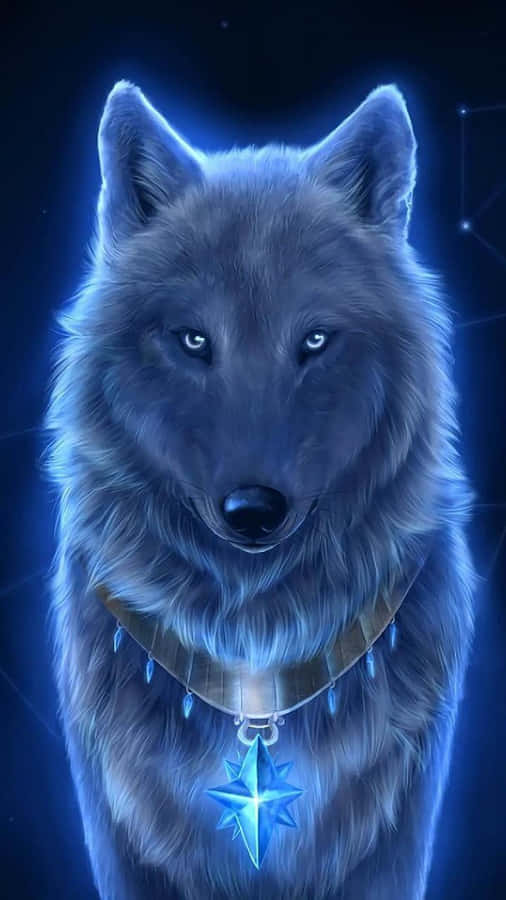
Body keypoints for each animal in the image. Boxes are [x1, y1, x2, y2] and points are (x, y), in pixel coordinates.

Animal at [46, 79, 476, 900]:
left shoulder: (395, 836)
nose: (253, 512)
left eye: (314, 340)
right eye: (193, 340)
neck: (254, 666)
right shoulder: (121, 835)